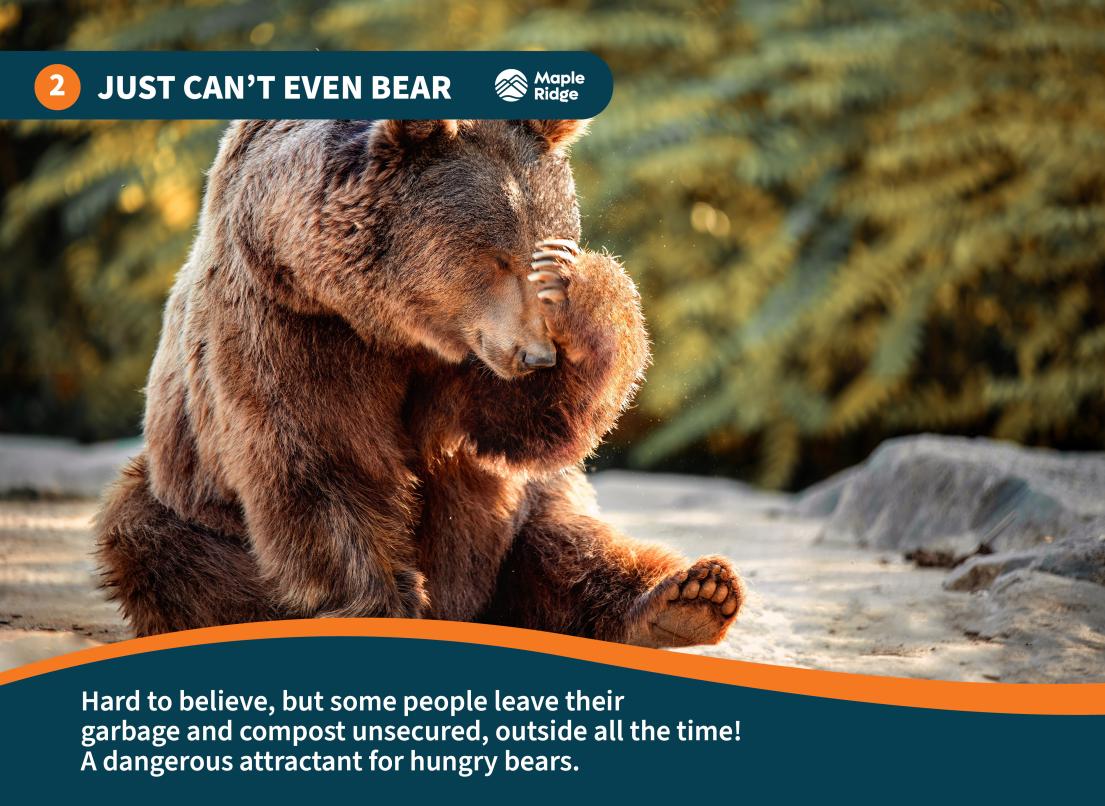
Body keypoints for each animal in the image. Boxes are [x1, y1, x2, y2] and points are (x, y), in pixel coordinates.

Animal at [95, 118, 745, 648]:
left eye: (540, 248)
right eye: (495, 256)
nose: (537, 356)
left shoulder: (464, 360)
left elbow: (522, 427)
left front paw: (576, 287)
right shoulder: (287, 320)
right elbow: (324, 461)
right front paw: (386, 604)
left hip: (531, 512)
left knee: (563, 537)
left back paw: (687, 598)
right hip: (188, 497)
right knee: (157, 543)